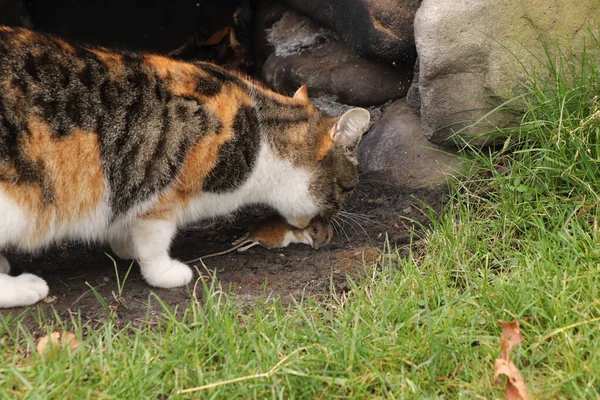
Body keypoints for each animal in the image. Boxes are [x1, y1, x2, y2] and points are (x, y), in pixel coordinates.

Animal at [0, 25, 370, 308]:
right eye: (348, 188)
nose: (333, 223)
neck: (261, 134)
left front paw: (124, 245)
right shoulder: (160, 195)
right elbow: (154, 239)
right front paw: (164, 273)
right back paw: (24, 287)